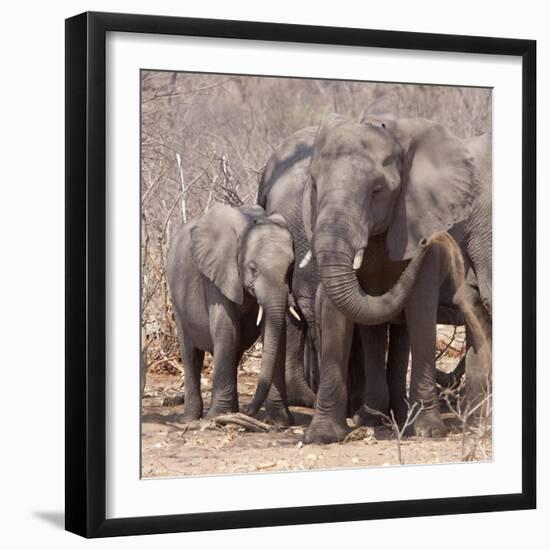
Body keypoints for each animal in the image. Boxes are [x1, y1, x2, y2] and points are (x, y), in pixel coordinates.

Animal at [166, 203, 298, 422]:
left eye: (290, 269)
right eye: (253, 268)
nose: (249, 411)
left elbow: (277, 333)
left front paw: (280, 422)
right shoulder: (218, 274)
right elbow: (227, 329)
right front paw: (218, 416)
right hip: (177, 300)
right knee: (191, 354)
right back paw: (192, 419)